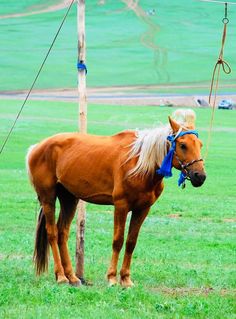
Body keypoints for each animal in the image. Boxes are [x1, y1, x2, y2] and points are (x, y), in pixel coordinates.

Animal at [26, 109, 206, 288]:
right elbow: (118, 241)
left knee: (62, 233)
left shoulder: (143, 209)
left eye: (200, 144)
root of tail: (37, 147)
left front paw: (126, 279)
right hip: (48, 198)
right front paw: (112, 277)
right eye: (183, 145)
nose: (200, 176)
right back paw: (61, 276)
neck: (139, 164)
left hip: (69, 199)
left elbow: (131, 242)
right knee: (52, 233)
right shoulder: (121, 206)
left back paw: (72, 277)